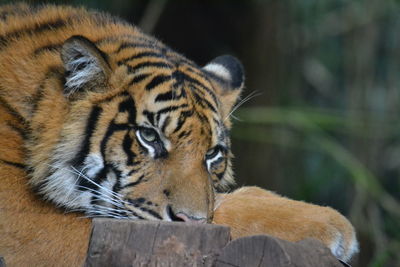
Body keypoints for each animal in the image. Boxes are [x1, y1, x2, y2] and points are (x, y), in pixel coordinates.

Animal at [0, 3, 356, 266]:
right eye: (150, 137)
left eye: (212, 154)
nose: (191, 222)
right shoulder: (35, 227)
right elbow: (222, 213)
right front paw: (330, 223)